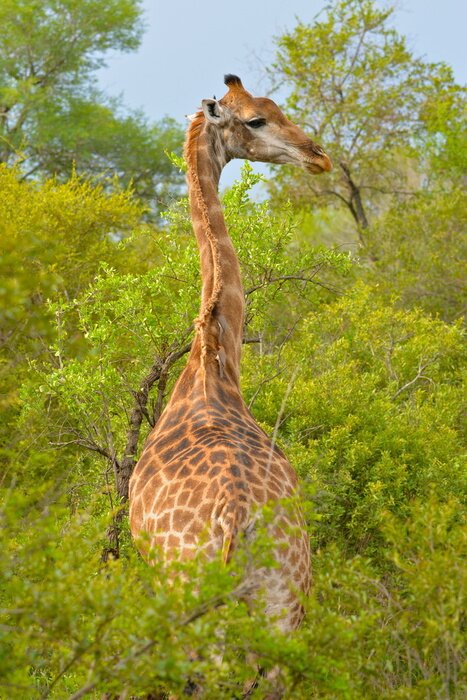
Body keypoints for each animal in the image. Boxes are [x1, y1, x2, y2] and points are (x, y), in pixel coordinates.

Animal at [129, 73, 331, 657]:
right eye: (256, 119)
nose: (318, 156)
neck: (213, 364)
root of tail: (235, 517)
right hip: (283, 597)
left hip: (209, 602)